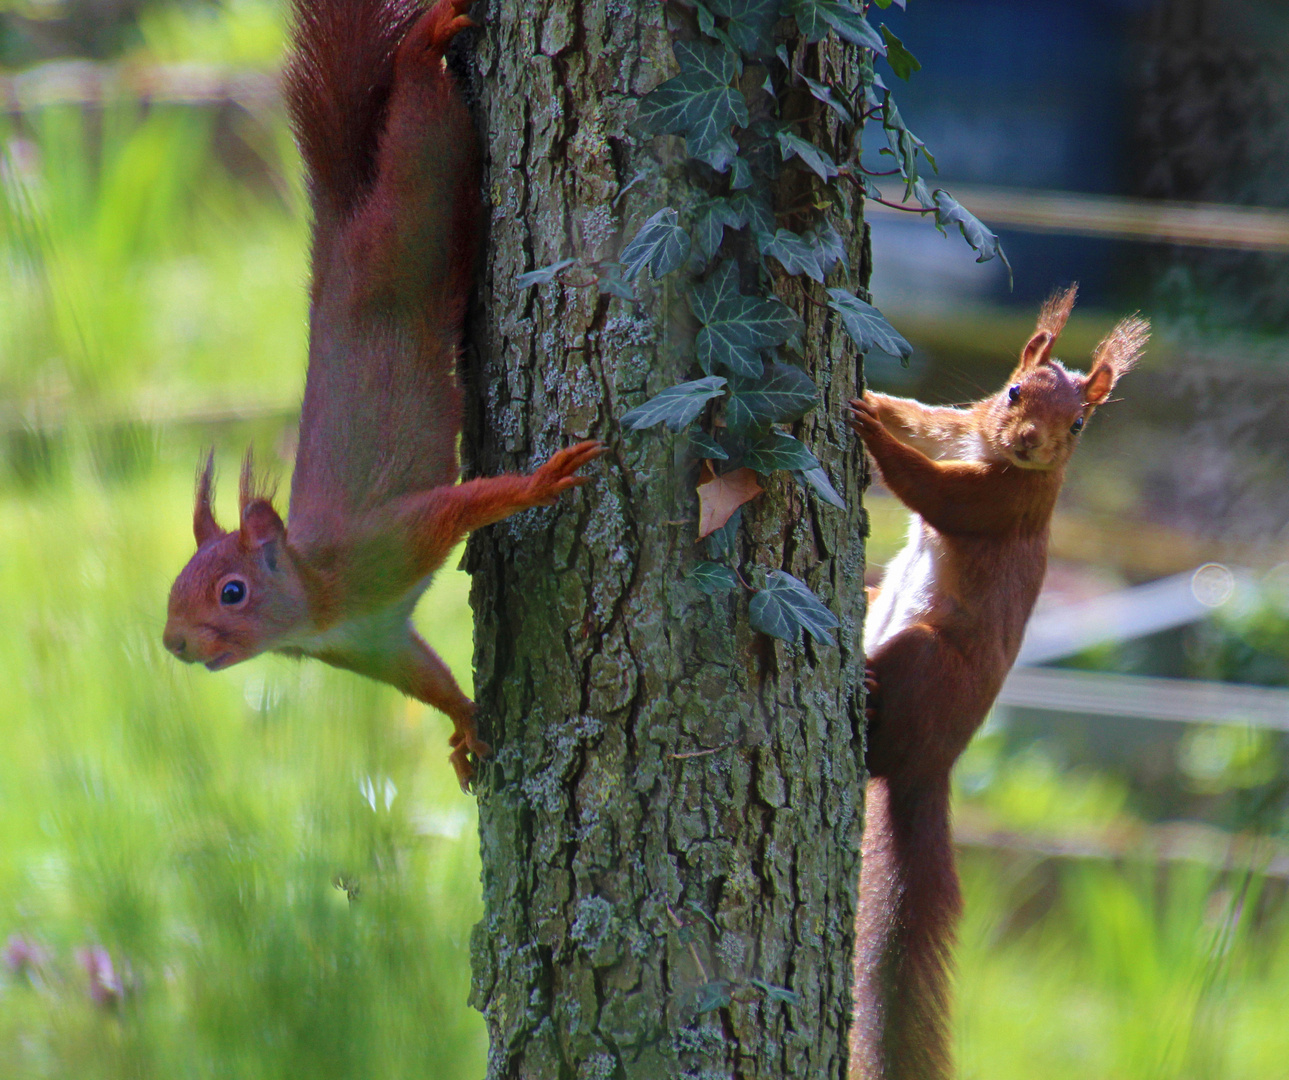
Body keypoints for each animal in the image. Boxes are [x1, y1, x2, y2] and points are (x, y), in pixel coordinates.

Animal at [162, 0, 603, 793]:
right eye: (176, 587)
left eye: (231, 592)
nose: (174, 643)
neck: (317, 604)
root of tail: (338, 229)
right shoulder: (374, 643)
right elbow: (423, 677)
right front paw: (464, 726)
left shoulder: (386, 543)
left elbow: (462, 504)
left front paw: (539, 483)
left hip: (416, 204)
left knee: (418, 121)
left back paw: (427, 43)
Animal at [845, 287, 1149, 1080]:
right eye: (1013, 392)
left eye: (1078, 425)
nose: (1029, 444)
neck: (994, 456)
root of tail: (934, 766)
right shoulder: (959, 426)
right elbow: (919, 414)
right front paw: (872, 398)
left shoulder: (1000, 505)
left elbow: (930, 491)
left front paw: (870, 435)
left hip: (925, 661)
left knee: (881, 749)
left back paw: (866, 691)